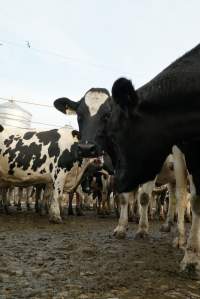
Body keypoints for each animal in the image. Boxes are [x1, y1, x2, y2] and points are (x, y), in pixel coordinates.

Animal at [54, 44, 200, 276]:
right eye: (79, 115)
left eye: (108, 115)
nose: (86, 148)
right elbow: (124, 199)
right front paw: (122, 227)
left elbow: (144, 198)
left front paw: (143, 230)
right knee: (177, 199)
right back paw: (172, 231)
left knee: (183, 199)